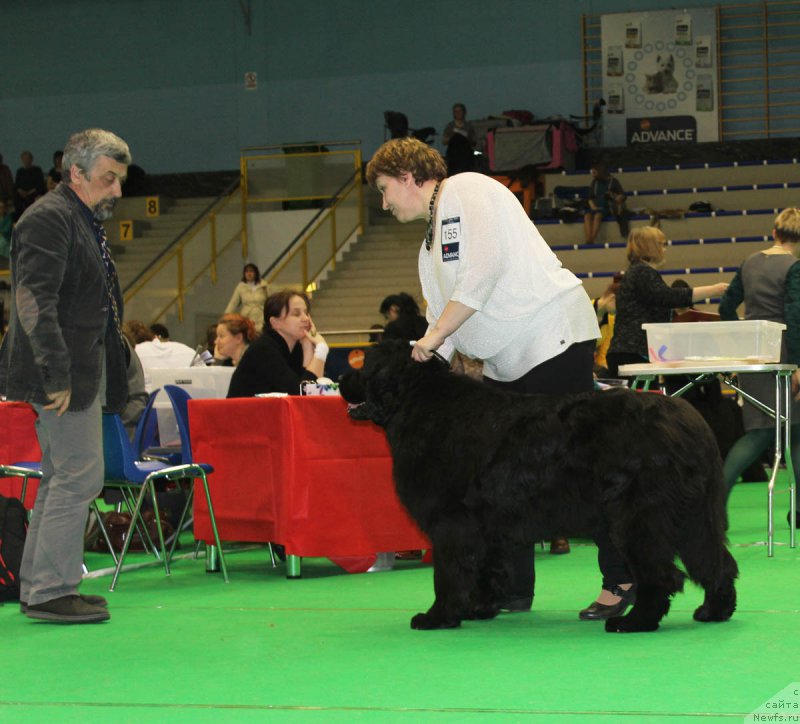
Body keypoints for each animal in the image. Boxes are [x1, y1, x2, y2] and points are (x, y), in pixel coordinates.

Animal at [338, 342, 736, 632]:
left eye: (365, 363)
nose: (341, 376)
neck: (418, 401)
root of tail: (689, 420)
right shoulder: (488, 525)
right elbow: (487, 569)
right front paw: (480, 608)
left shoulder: (452, 523)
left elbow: (448, 573)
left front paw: (438, 616)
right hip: (694, 516)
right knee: (715, 560)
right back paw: (714, 611)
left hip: (639, 518)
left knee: (661, 574)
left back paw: (634, 622)